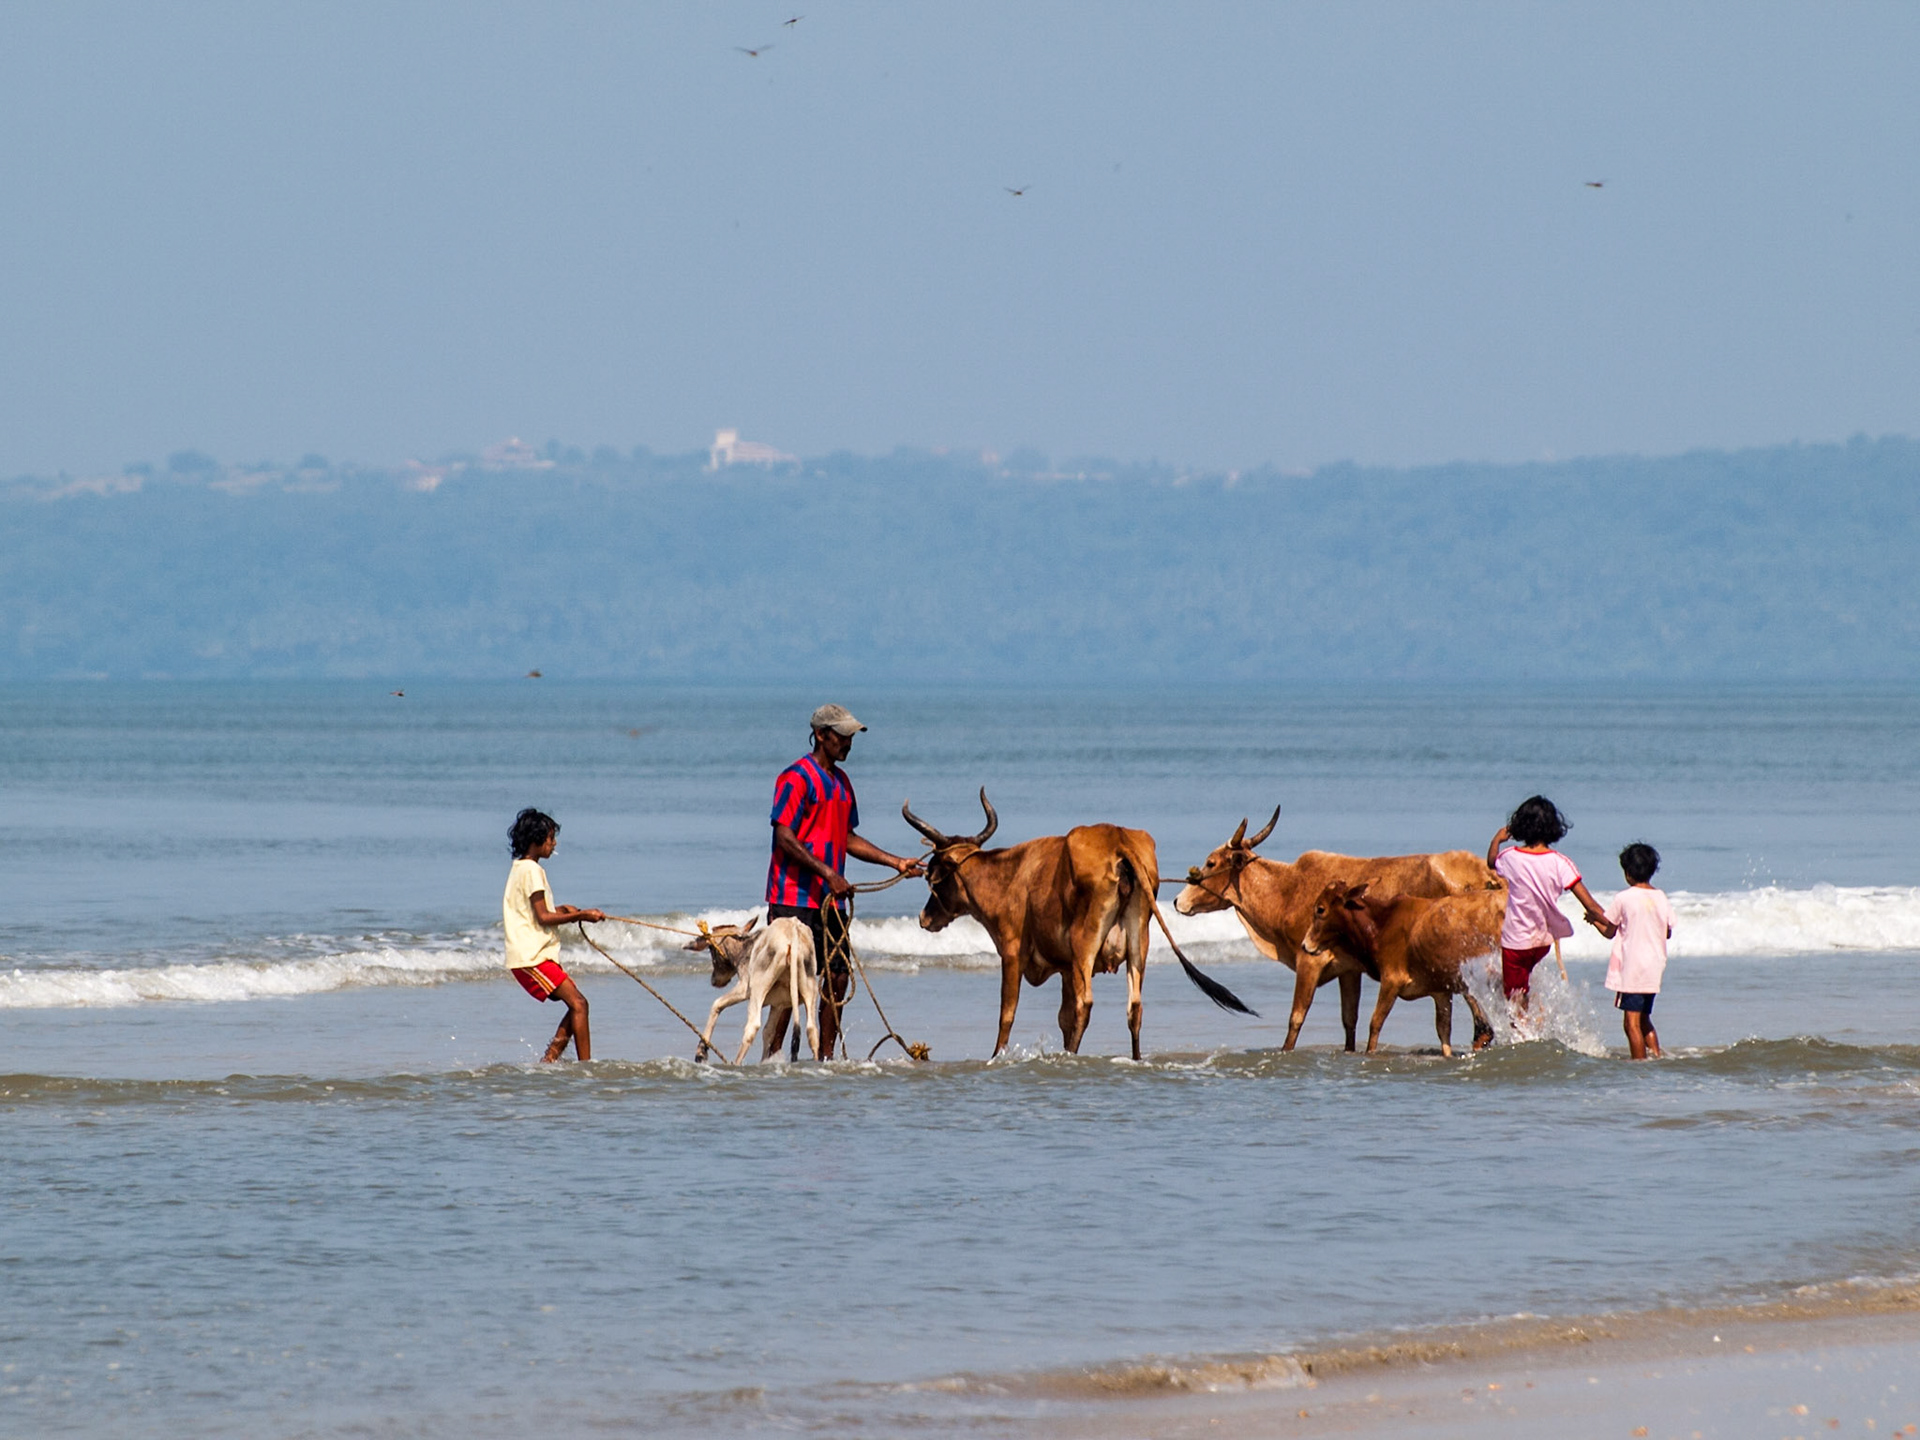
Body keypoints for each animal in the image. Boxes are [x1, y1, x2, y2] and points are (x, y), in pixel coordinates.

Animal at [686, 916, 822, 1064]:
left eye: (711, 948)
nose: (714, 980)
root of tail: (793, 928)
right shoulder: (778, 1004)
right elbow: (769, 1032)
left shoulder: (743, 988)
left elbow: (716, 1004)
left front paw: (701, 1052)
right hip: (809, 988)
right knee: (812, 1030)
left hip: (758, 989)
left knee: (752, 1026)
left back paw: (736, 1063)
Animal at [902, 789, 1250, 1061]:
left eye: (932, 870)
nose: (924, 917)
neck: (1010, 874)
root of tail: (1118, 840)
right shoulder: (1066, 968)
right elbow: (1064, 1017)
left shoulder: (1013, 953)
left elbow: (1008, 1013)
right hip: (1139, 942)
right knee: (1134, 1006)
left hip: (1086, 941)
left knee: (1087, 1003)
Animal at [1297, 881, 1503, 1056]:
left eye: (1320, 909)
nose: (1305, 945)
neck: (1381, 924)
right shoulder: (1441, 992)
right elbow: (1443, 1031)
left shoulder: (1391, 980)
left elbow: (1376, 1022)